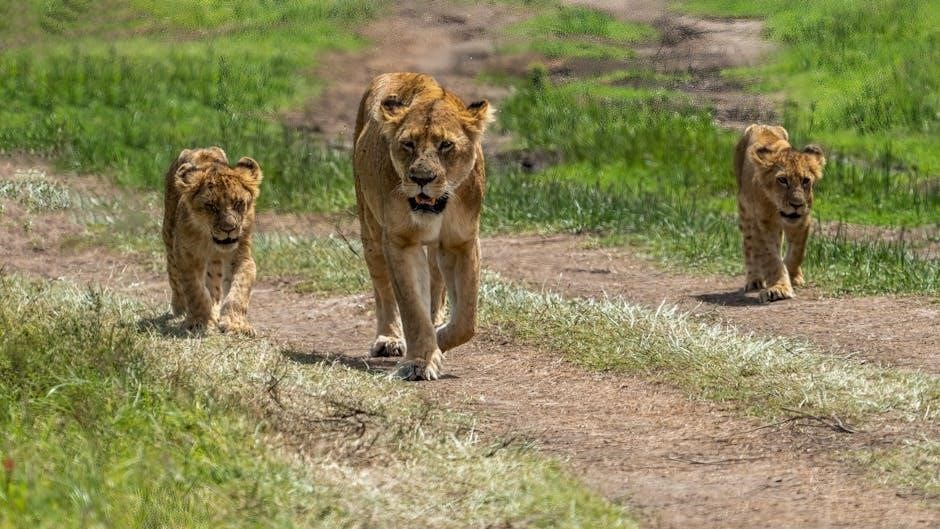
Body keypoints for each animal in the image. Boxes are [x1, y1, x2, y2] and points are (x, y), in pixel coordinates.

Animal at [162, 146, 263, 335]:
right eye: (211, 206)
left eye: (238, 203)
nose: (228, 229)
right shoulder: (186, 257)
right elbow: (195, 290)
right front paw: (199, 322)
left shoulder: (242, 256)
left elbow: (239, 290)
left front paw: (235, 324)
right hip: (169, 237)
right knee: (174, 276)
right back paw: (180, 310)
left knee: (214, 286)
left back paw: (214, 312)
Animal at [353, 72, 493, 381]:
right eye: (408, 144)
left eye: (446, 145)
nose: (421, 178)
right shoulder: (400, 241)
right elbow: (411, 307)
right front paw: (419, 361)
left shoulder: (461, 242)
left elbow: (466, 318)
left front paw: (438, 340)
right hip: (371, 231)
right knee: (383, 289)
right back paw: (390, 339)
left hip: (436, 249)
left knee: (437, 286)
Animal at [734, 124, 825, 302]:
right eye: (782, 180)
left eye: (805, 180)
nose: (797, 204)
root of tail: (761, 125)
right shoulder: (762, 224)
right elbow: (771, 258)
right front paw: (779, 288)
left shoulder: (803, 220)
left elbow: (797, 252)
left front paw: (793, 276)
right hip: (745, 211)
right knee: (749, 247)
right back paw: (754, 280)